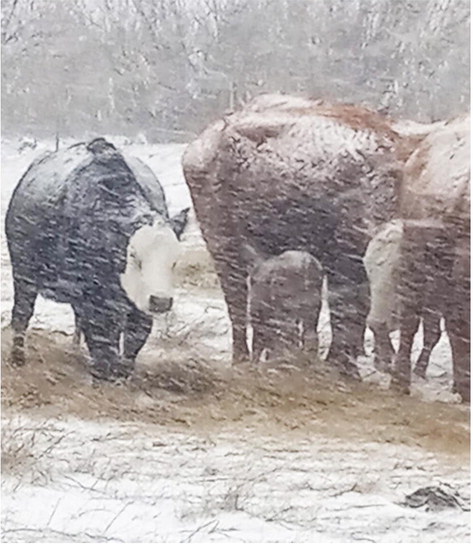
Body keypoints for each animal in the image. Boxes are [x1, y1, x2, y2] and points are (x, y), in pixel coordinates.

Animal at [183, 94, 408, 378]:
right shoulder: (342, 261)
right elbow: (346, 312)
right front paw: (341, 365)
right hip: (221, 243)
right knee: (237, 304)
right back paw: (242, 358)